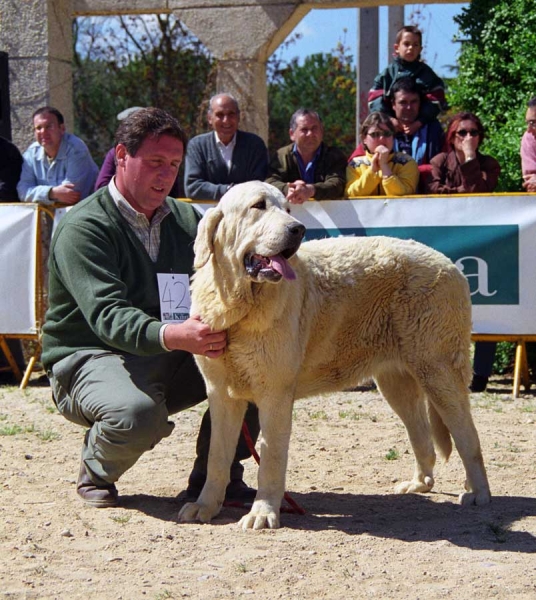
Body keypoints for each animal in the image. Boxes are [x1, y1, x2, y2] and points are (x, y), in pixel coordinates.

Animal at [179, 182, 490, 528]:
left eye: (288, 209)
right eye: (258, 206)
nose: (298, 229)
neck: (239, 308)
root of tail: (450, 264)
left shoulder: (274, 394)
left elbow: (270, 457)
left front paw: (263, 512)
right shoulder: (220, 393)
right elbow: (216, 456)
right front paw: (205, 506)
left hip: (438, 372)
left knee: (467, 436)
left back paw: (478, 493)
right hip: (396, 382)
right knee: (422, 435)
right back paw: (419, 484)